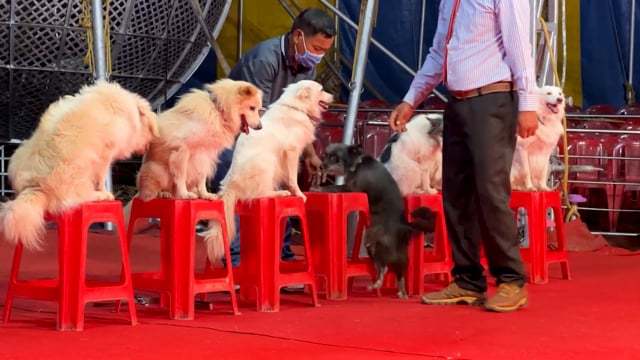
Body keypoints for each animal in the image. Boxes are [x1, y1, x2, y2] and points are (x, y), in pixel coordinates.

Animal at [0, 81, 159, 250]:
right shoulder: (105, 155)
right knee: (78, 198)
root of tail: (35, 187)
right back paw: (99, 196)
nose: (148, 148)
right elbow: (101, 179)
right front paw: (106, 192)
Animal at [202, 79, 336, 262]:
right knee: (260, 194)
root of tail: (229, 187)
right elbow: (293, 179)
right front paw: (298, 194)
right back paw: (279, 193)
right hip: (267, 161)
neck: (295, 107)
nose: (334, 96)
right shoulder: (291, 151)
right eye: (322, 90)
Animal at [310, 143, 436, 298]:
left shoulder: (351, 188)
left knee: (383, 267)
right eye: (325, 155)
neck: (358, 163)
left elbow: (332, 186)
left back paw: (378, 282)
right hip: (400, 254)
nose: (321, 166)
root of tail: (403, 225)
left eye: (335, 157)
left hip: (371, 243)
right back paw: (402, 292)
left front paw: (318, 188)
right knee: (399, 273)